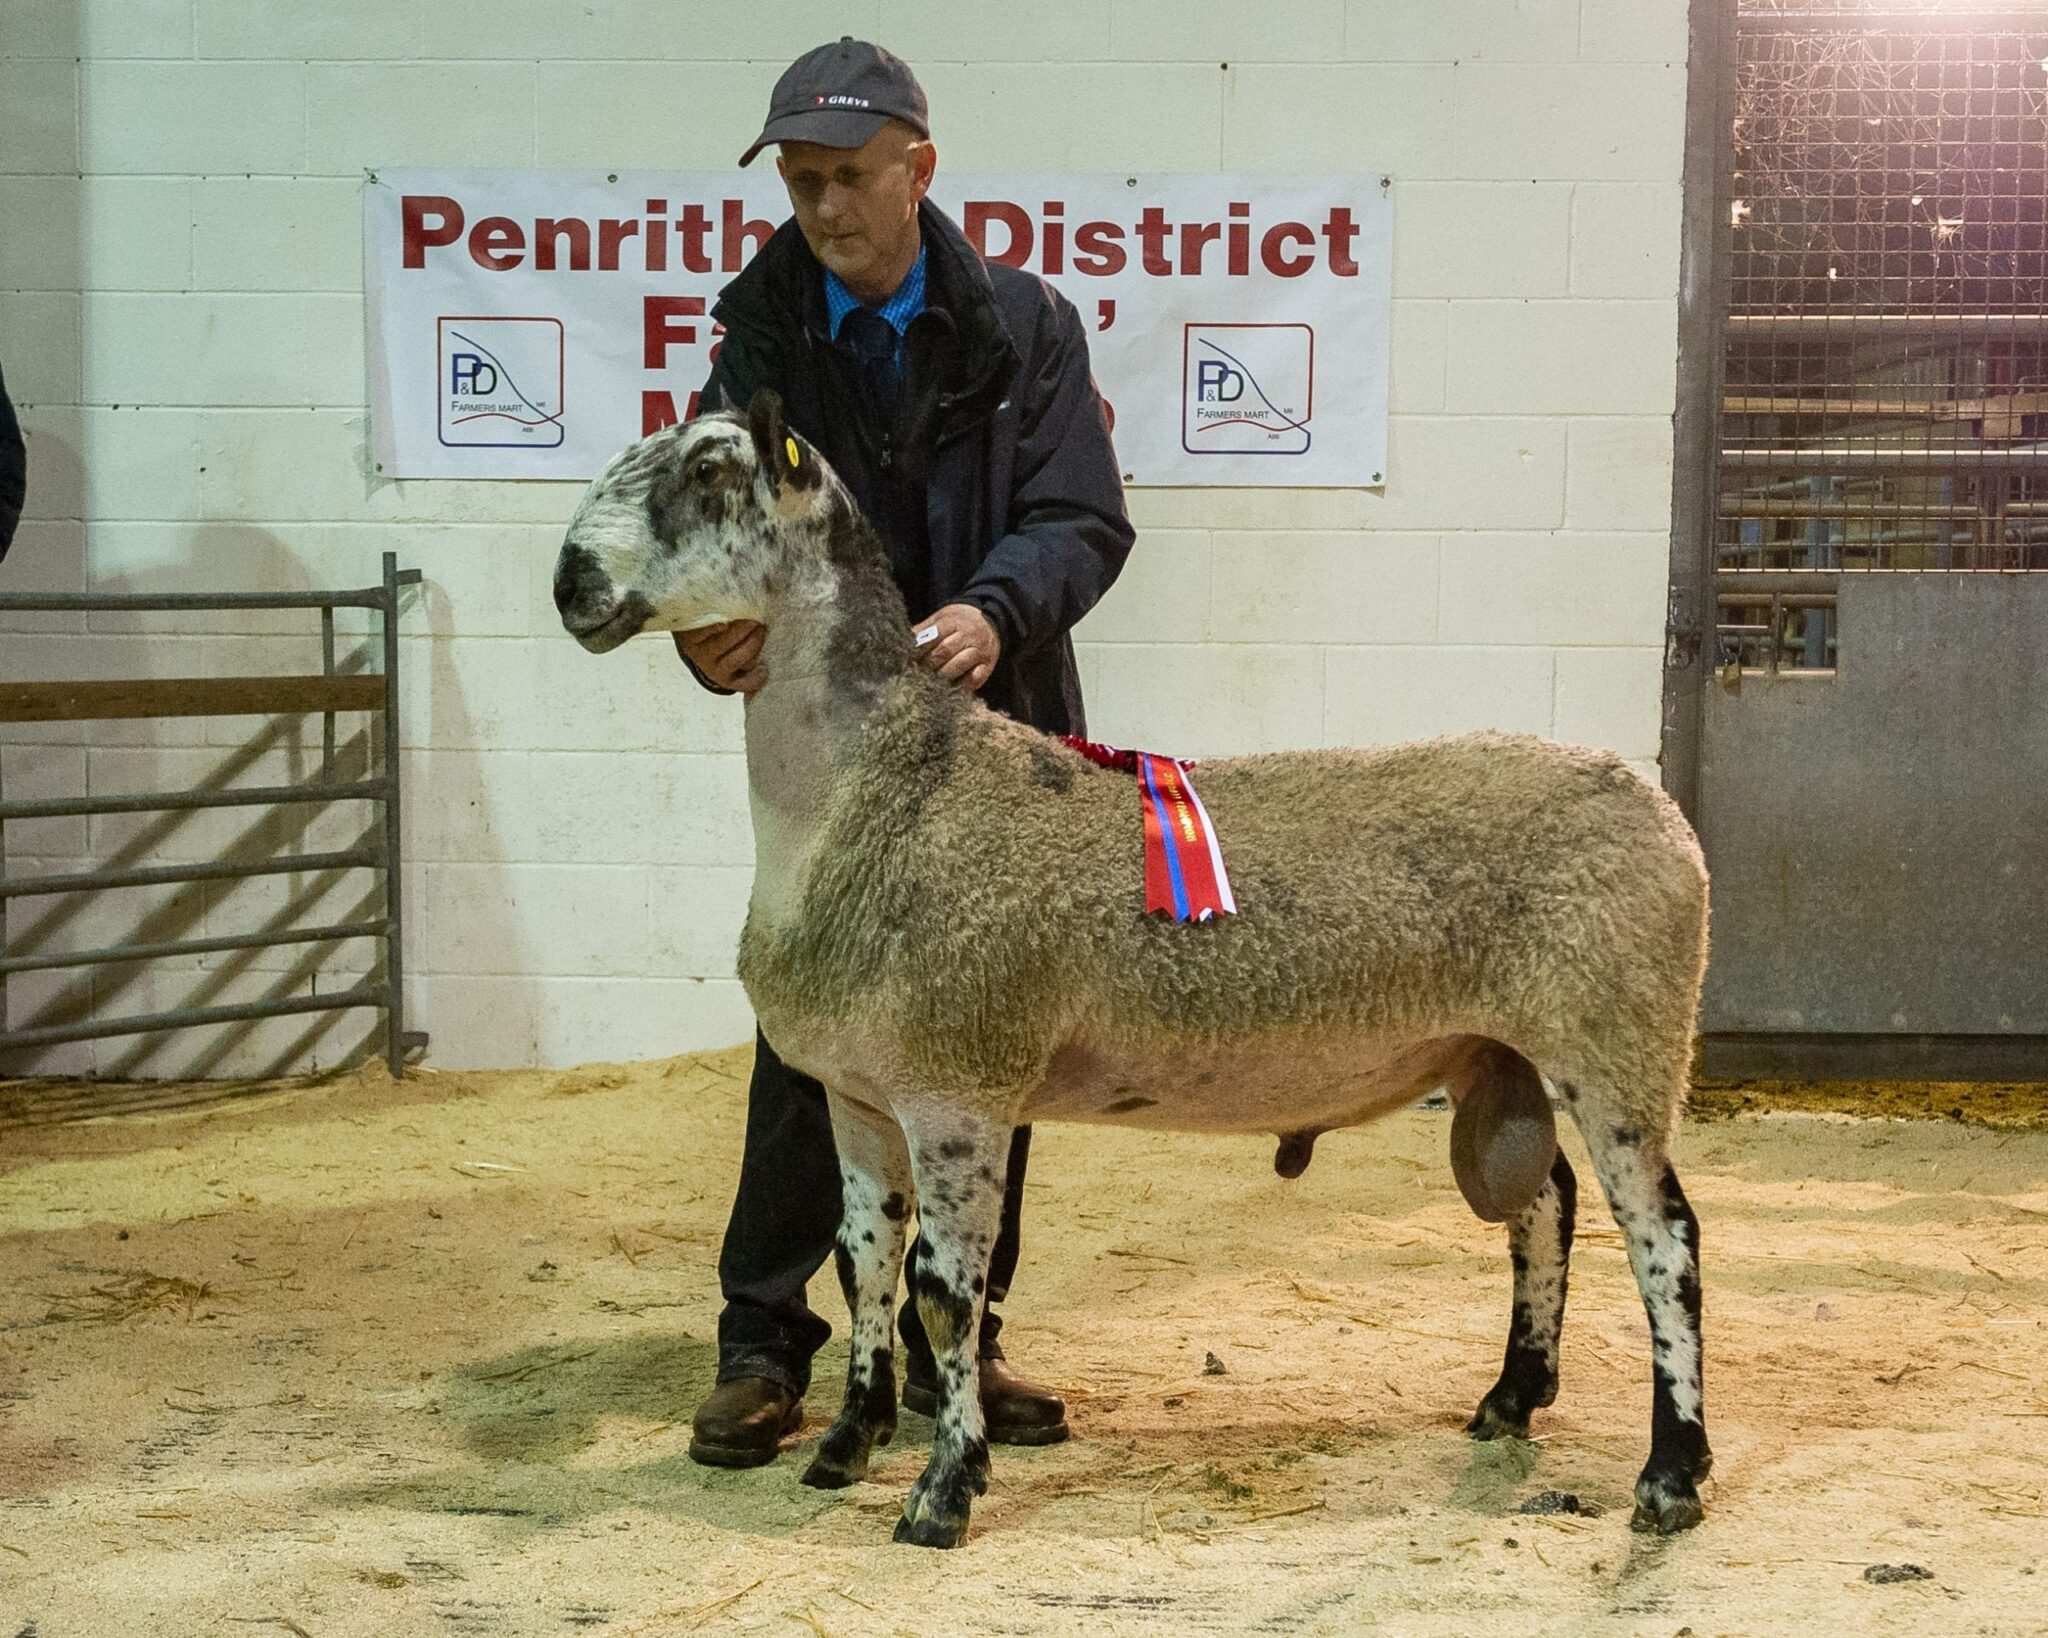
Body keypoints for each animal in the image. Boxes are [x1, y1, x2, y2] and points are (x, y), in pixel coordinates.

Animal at [557, 393, 1712, 1547]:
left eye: (711, 471)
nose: (570, 582)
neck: (881, 788)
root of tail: (1656, 806)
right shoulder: (857, 1094)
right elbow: (865, 1266)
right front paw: (847, 1443)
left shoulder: (956, 1085)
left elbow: (946, 1292)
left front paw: (944, 1489)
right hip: (1495, 1053)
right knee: (1543, 1202)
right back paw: (1513, 1396)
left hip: (1620, 1036)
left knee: (1664, 1242)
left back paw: (1670, 1475)